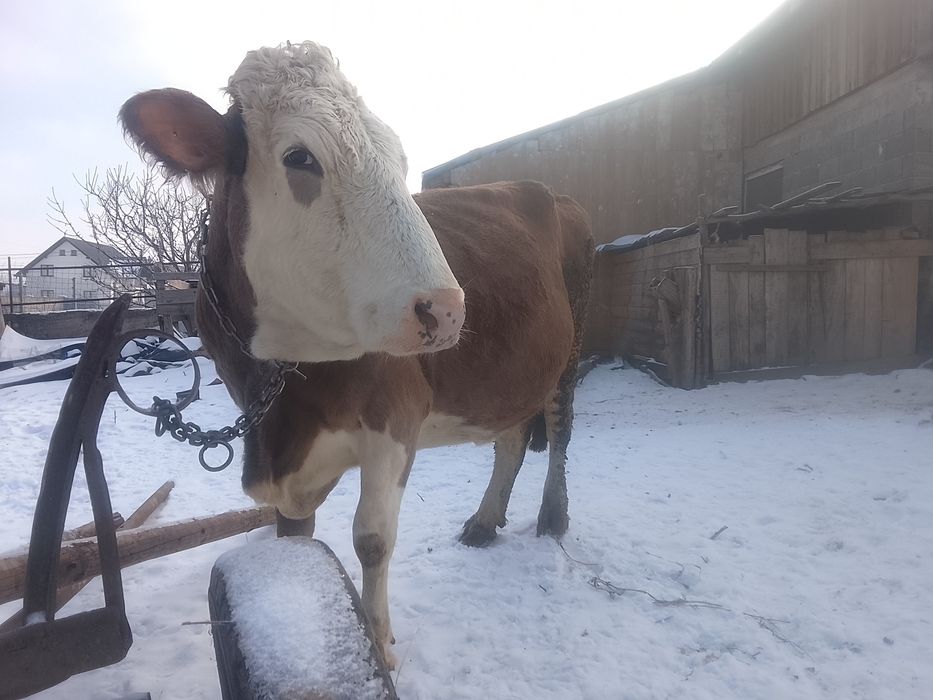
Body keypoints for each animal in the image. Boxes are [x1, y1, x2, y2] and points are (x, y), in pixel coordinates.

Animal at [120, 41, 593, 668]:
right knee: (511, 438)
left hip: (572, 348)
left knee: (559, 431)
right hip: (509, 370)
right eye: (299, 157)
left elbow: (372, 539)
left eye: (398, 160)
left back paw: (552, 516)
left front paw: (379, 645)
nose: (445, 309)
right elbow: (295, 536)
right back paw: (486, 521)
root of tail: (543, 190)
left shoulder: (395, 418)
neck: (286, 388)